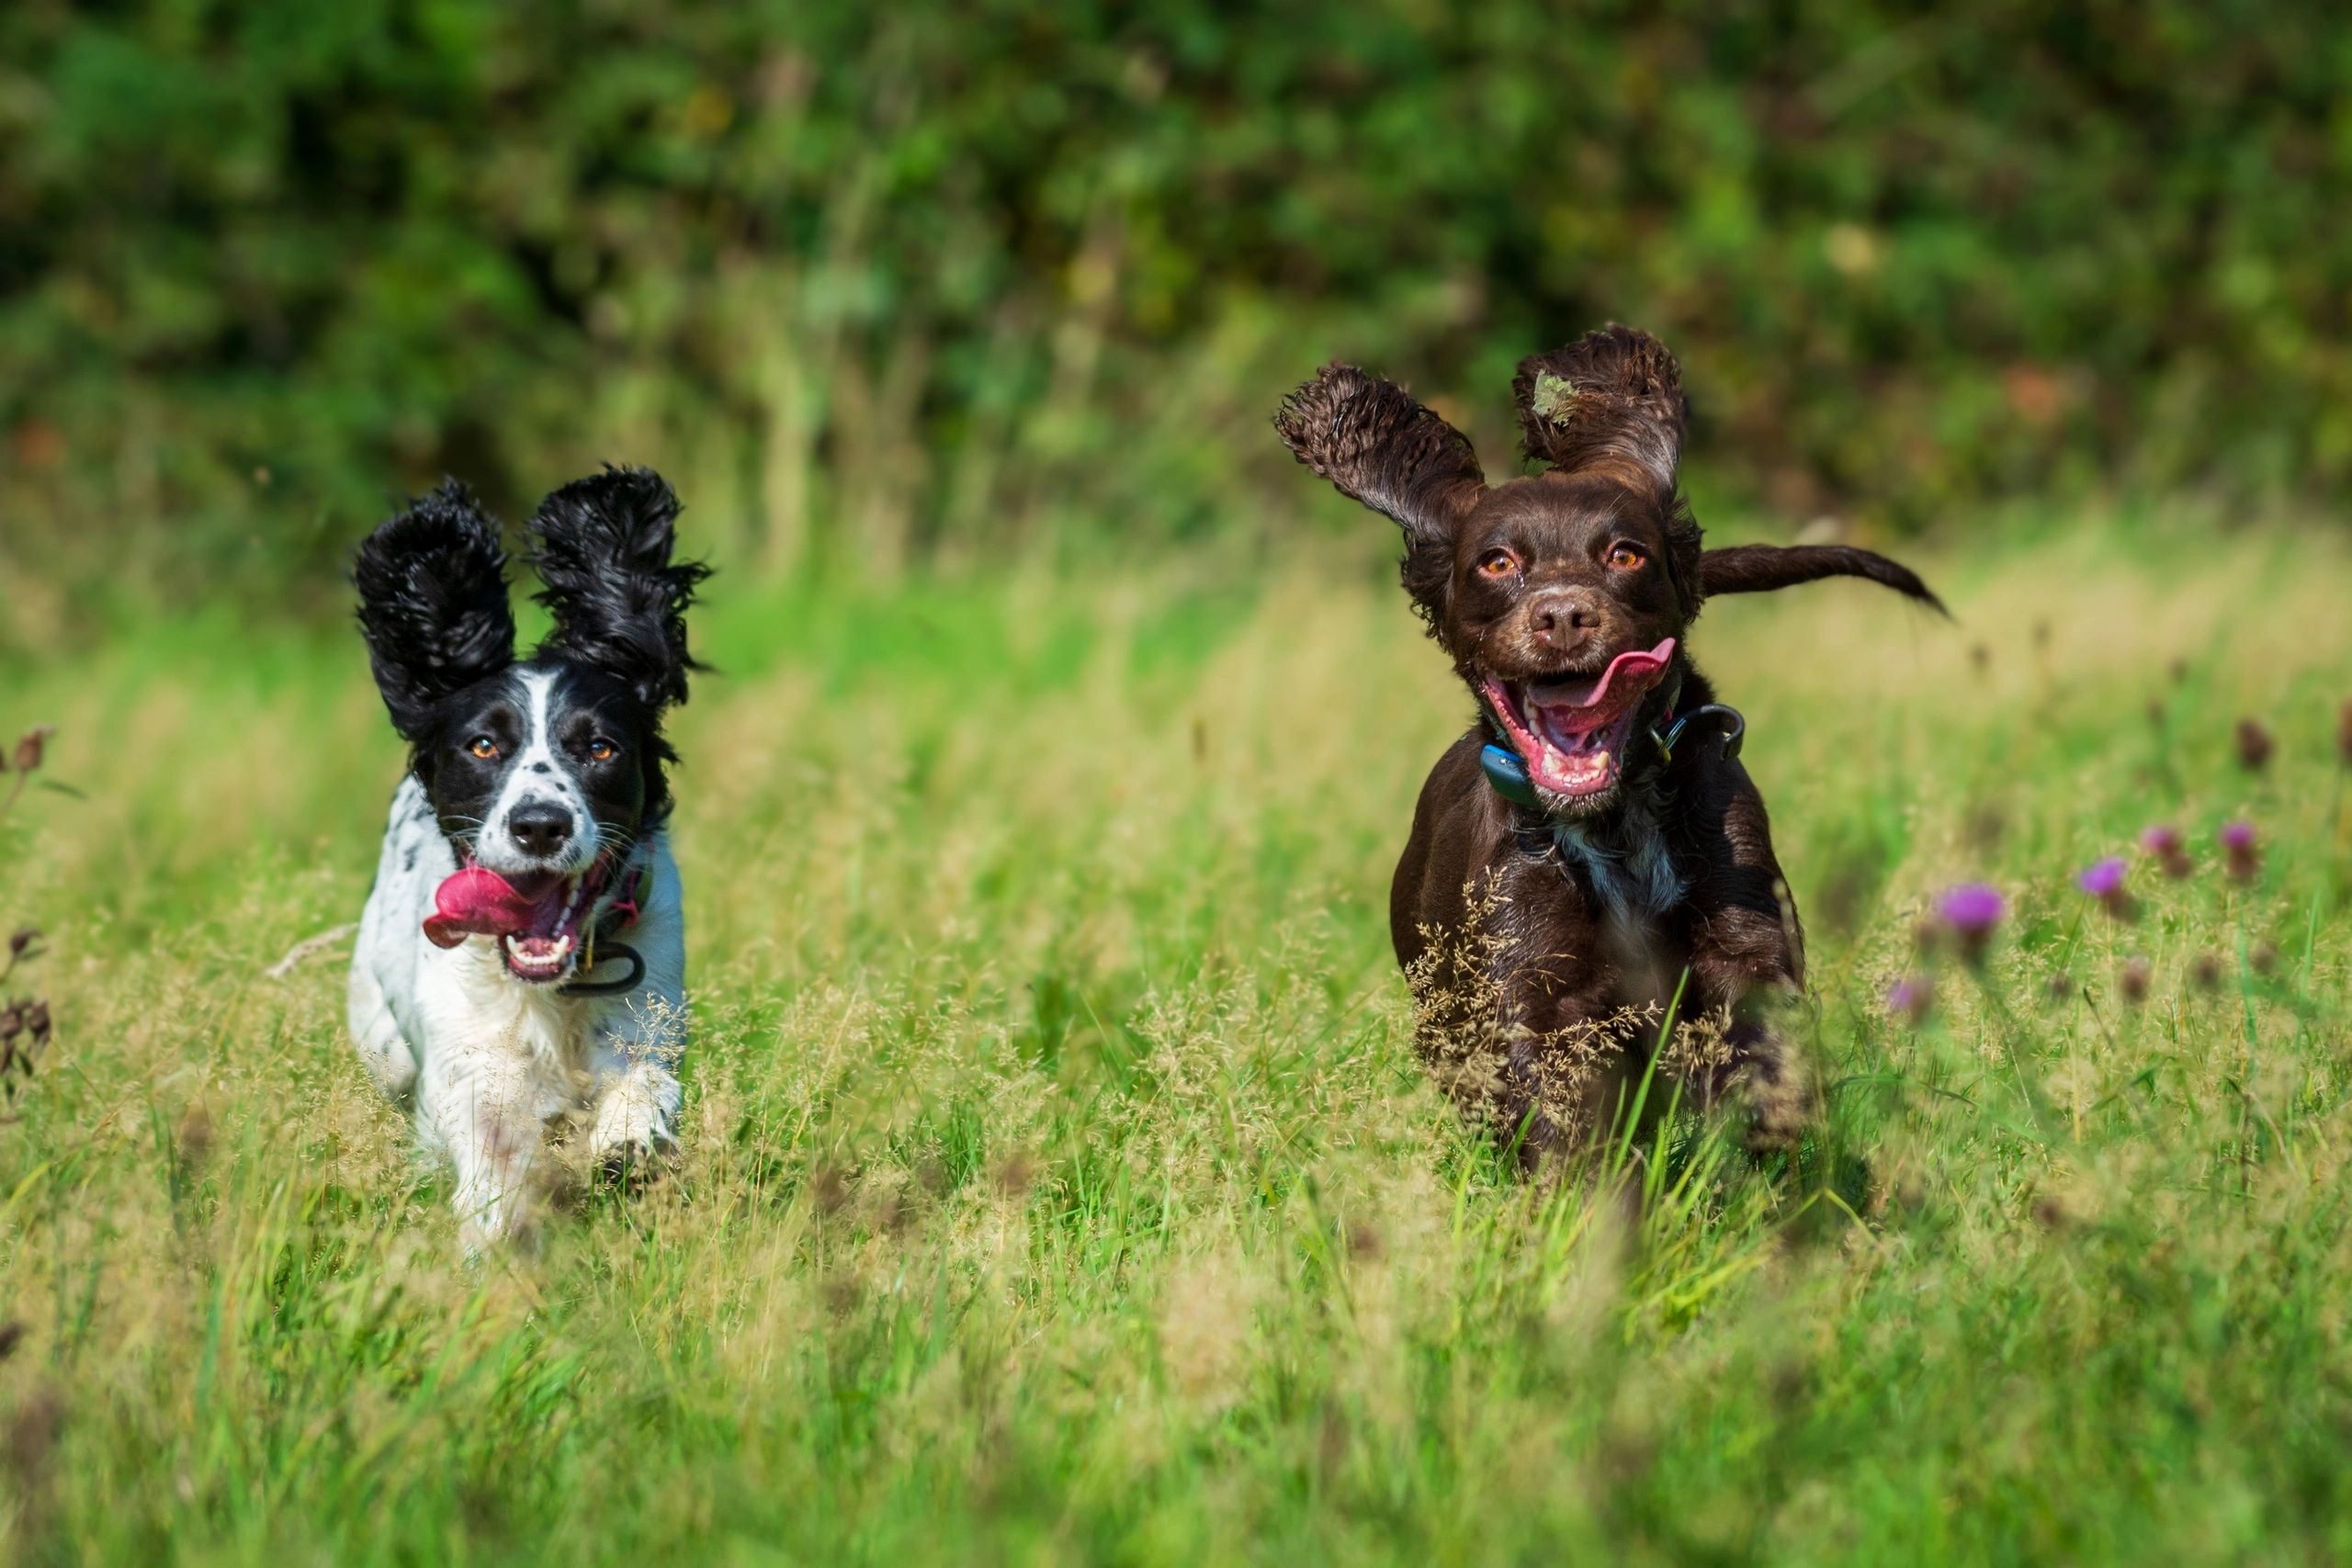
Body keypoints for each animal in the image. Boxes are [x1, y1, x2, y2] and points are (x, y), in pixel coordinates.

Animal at [343, 465, 700, 1250]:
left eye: (599, 746)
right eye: (483, 744)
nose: (540, 823)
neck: (552, 991)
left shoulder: (650, 1004)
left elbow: (644, 1083)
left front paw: (626, 1137)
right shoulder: (471, 1059)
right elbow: (492, 1151)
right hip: (381, 1039)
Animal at [1279, 329, 1938, 1166]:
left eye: (1624, 554)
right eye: (1498, 561)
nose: (1563, 615)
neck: (1611, 824)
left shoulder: (1743, 939)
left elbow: (1764, 1049)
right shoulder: (1531, 985)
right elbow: (1567, 1122)